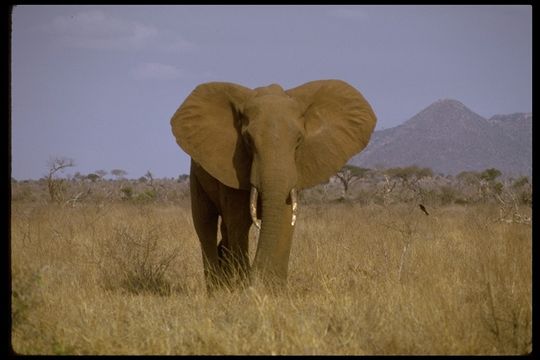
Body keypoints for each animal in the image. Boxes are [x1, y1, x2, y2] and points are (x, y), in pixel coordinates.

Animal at [171, 79, 378, 290]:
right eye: (248, 140)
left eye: (299, 140)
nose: (255, 279)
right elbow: (237, 221)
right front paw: (244, 287)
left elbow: (286, 216)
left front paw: (271, 289)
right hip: (196, 175)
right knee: (206, 225)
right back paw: (217, 289)